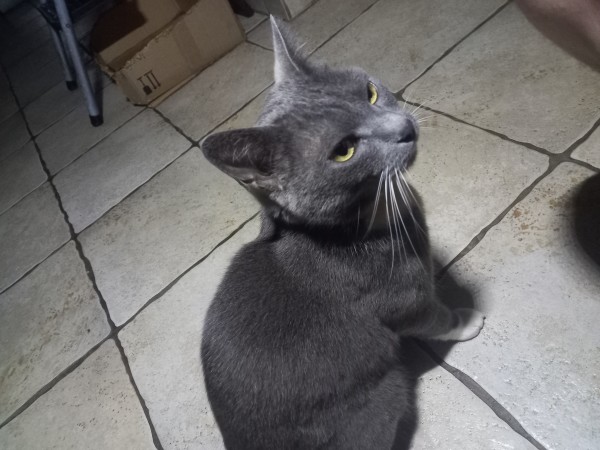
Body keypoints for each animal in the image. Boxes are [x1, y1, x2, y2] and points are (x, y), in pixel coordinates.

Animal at [199, 17, 486, 450]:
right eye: (344, 151)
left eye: (370, 92)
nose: (405, 127)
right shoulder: (402, 300)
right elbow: (434, 317)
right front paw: (467, 319)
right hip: (386, 393)